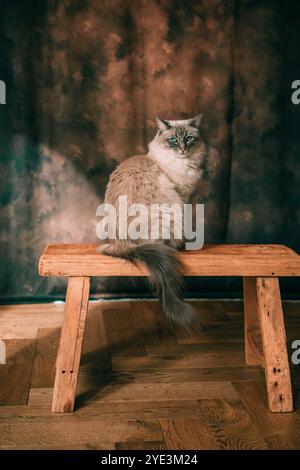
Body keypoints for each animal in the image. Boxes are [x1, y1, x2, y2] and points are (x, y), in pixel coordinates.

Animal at [98, 114, 206, 330]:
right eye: (173, 140)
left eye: (189, 139)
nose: (182, 149)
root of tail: (121, 245)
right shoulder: (182, 197)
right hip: (170, 210)